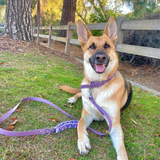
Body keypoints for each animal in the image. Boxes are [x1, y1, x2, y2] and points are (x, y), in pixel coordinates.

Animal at [60, 16, 132, 159]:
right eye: (91, 46)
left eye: (107, 46)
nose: (101, 57)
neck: (98, 84)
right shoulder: (87, 114)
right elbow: (80, 124)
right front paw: (83, 143)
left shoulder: (114, 124)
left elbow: (121, 147)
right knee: (79, 93)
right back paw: (73, 98)